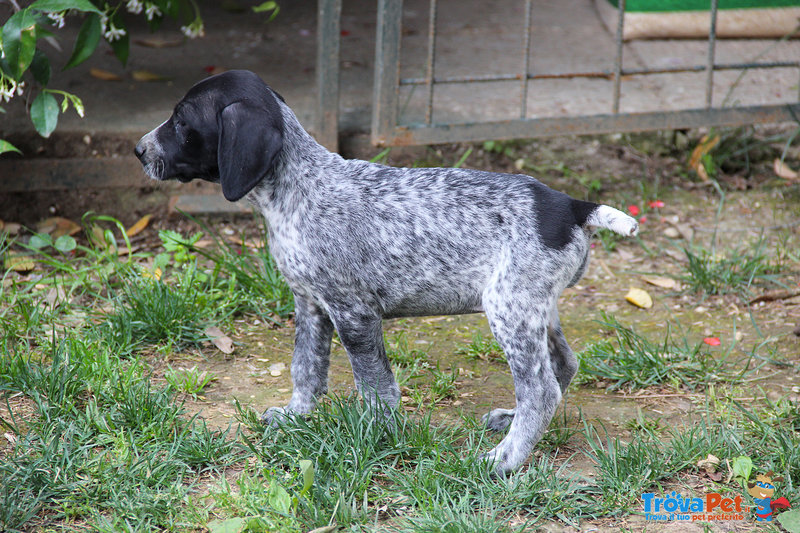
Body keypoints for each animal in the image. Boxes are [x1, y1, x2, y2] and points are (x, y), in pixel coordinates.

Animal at [136, 69, 636, 474]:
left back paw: (506, 459)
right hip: (535, 307)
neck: (299, 186)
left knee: (541, 390)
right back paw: (512, 424)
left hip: (509, 309)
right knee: (561, 366)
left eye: (182, 121)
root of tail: (570, 206)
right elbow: (305, 367)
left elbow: (375, 385)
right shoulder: (310, 304)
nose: (139, 150)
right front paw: (297, 415)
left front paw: (376, 435)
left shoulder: (353, 312)